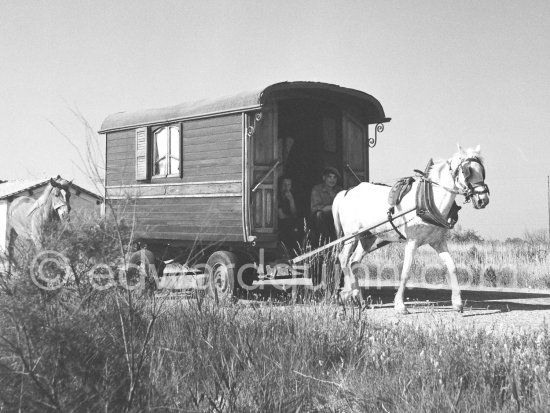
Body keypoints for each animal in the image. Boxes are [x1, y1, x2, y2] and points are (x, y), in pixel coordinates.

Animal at [332, 145, 492, 312]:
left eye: (482, 170)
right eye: (467, 171)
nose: (483, 199)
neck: (427, 202)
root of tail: (346, 193)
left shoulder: (438, 241)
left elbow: (452, 266)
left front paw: (457, 302)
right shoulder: (412, 242)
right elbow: (406, 272)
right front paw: (400, 305)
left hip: (367, 237)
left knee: (354, 262)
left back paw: (359, 299)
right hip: (351, 236)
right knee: (344, 259)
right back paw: (349, 293)